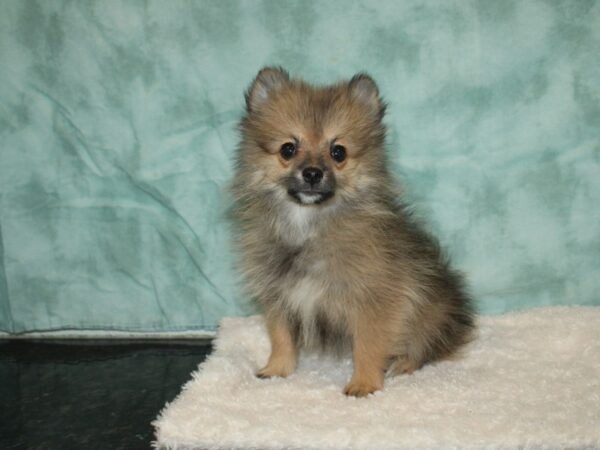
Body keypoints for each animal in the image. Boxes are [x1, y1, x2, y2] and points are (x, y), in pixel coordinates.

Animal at [232, 67, 476, 398]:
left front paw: (364, 383)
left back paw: (403, 364)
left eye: (338, 152)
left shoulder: (377, 300)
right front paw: (277, 370)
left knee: (424, 347)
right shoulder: (279, 293)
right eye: (288, 149)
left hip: (431, 312)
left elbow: (368, 345)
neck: (309, 224)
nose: (312, 173)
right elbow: (281, 337)